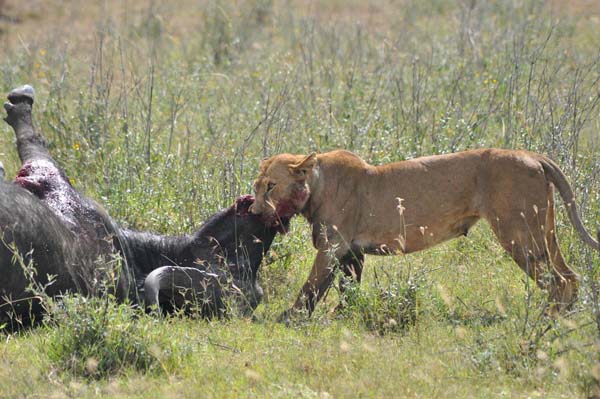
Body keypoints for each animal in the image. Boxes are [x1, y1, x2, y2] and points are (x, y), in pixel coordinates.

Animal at [250, 148, 600, 320]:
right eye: (256, 186)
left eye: (271, 186)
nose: (253, 211)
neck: (316, 185)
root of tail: (535, 156)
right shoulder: (352, 251)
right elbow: (347, 288)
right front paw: (341, 315)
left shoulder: (332, 247)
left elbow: (311, 287)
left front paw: (289, 317)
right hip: (544, 232)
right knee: (571, 276)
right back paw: (566, 317)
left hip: (519, 234)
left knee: (558, 280)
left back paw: (548, 321)